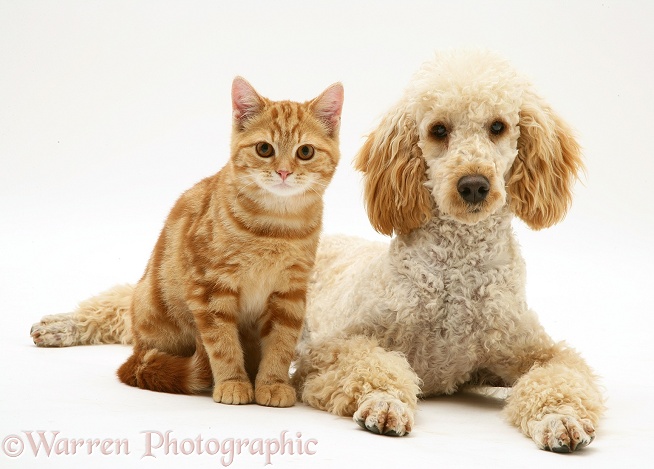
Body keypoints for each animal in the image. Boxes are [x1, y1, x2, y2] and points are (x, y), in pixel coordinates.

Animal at [32, 77, 344, 406]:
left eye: (305, 152)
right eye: (264, 149)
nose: (284, 172)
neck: (276, 227)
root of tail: (138, 352)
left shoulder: (290, 294)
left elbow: (280, 345)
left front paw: (273, 383)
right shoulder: (209, 287)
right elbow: (222, 344)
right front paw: (233, 382)